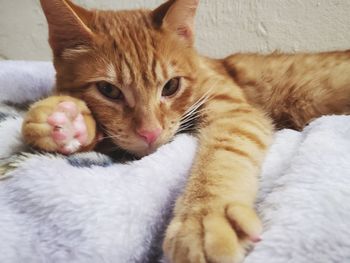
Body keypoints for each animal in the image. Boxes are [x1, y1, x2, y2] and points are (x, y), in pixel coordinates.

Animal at [21, 0, 350, 263]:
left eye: (171, 86)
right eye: (108, 90)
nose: (150, 133)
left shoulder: (234, 113)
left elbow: (220, 158)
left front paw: (203, 220)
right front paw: (64, 119)